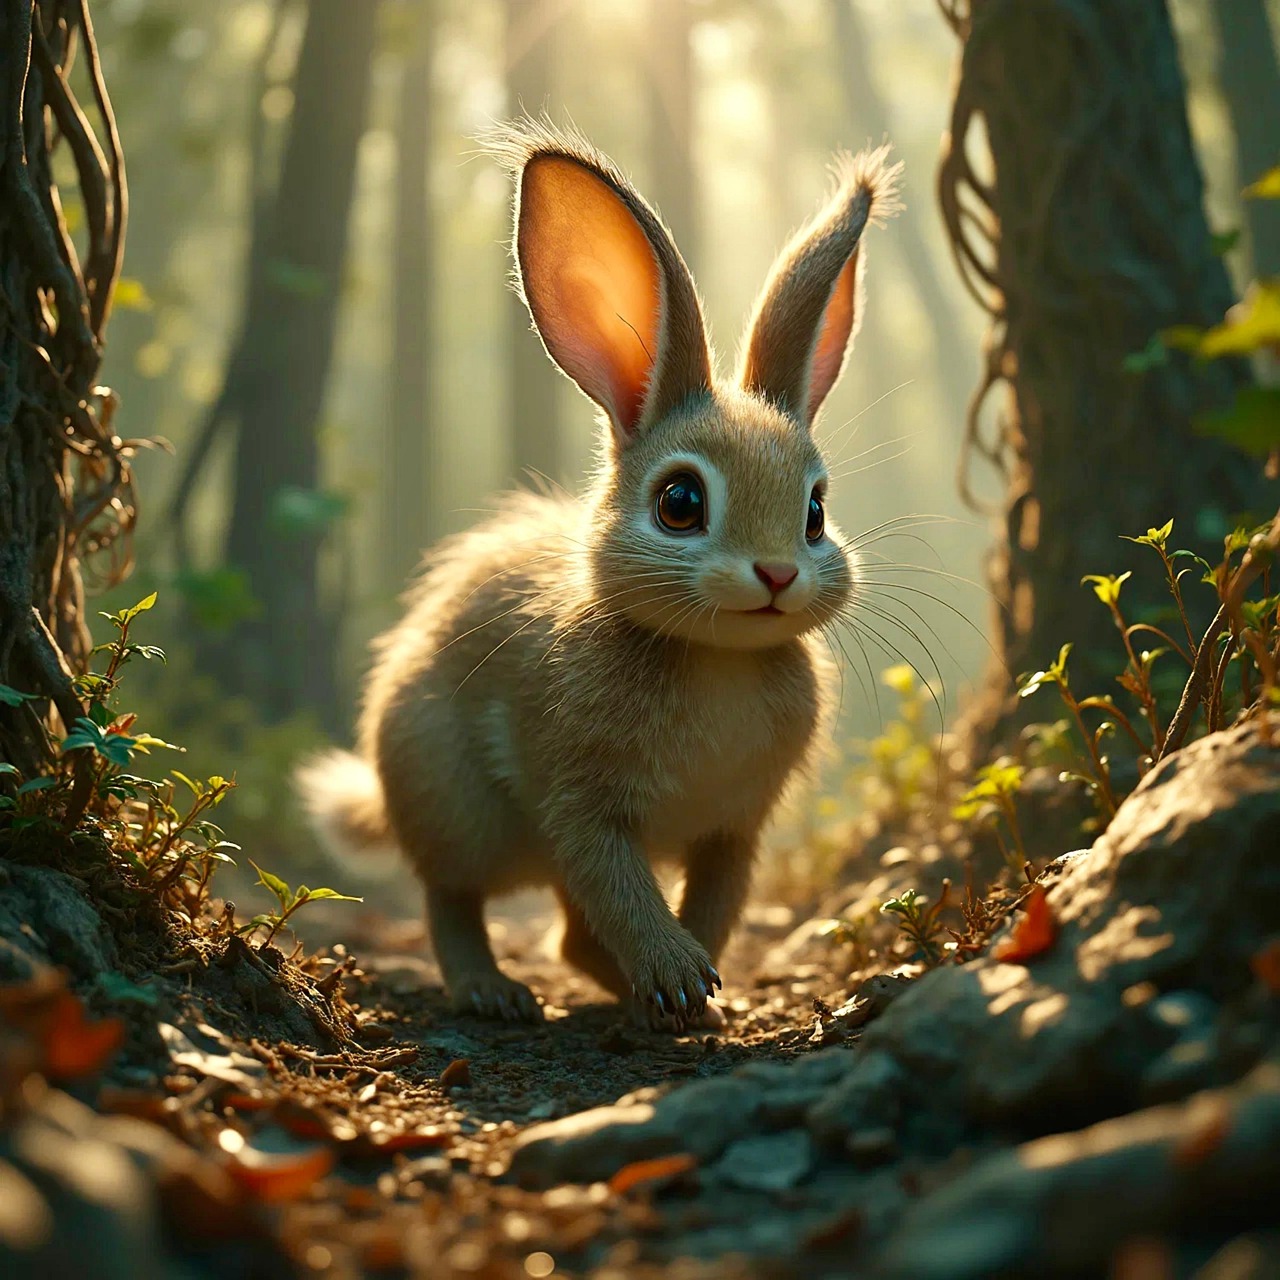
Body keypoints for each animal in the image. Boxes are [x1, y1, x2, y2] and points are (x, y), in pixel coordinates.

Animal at [297, 118, 900, 1029]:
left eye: (816, 512)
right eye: (680, 502)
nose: (776, 575)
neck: (713, 658)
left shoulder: (735, 830)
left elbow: (714, 903)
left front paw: (700, 994)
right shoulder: (583, 807)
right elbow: (622, 893)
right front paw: (678, 977)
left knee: (568, 938)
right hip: (456, 802)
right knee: (452, 899)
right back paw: (494, 992)